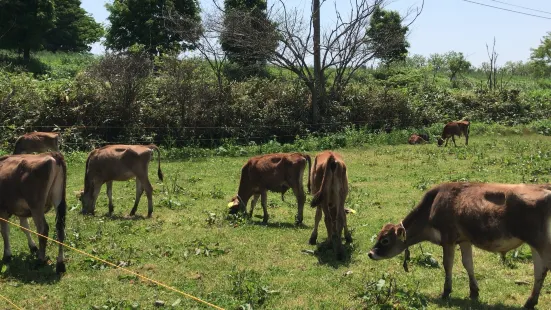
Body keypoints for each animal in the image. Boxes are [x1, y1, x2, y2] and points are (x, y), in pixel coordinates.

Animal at [366, 183, 551, 308]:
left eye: (385, 240)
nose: (370, 253)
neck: (432, 206)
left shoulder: (448, 239)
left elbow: (448, 265)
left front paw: (446, 291)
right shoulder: (464, 240)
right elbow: (468, 263)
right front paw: (474, 291)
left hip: (539, 242)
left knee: (543, 268)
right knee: (539, 270)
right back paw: (531, 301)